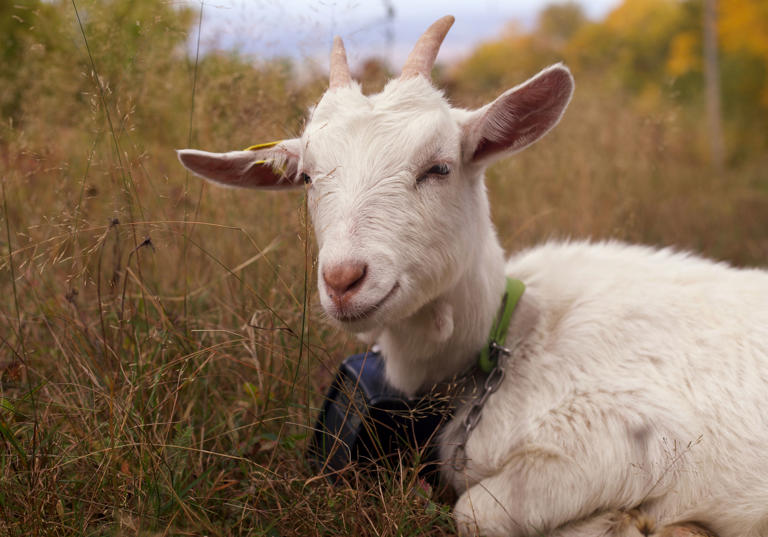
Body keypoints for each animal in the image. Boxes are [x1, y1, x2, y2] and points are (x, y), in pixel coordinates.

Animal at [177, 16, 768, 537]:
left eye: (438, 167)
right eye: (305, 177)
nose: (344, 279)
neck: (508, 342)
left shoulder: (635, 436)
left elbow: (474, 511)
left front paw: (635, 523)